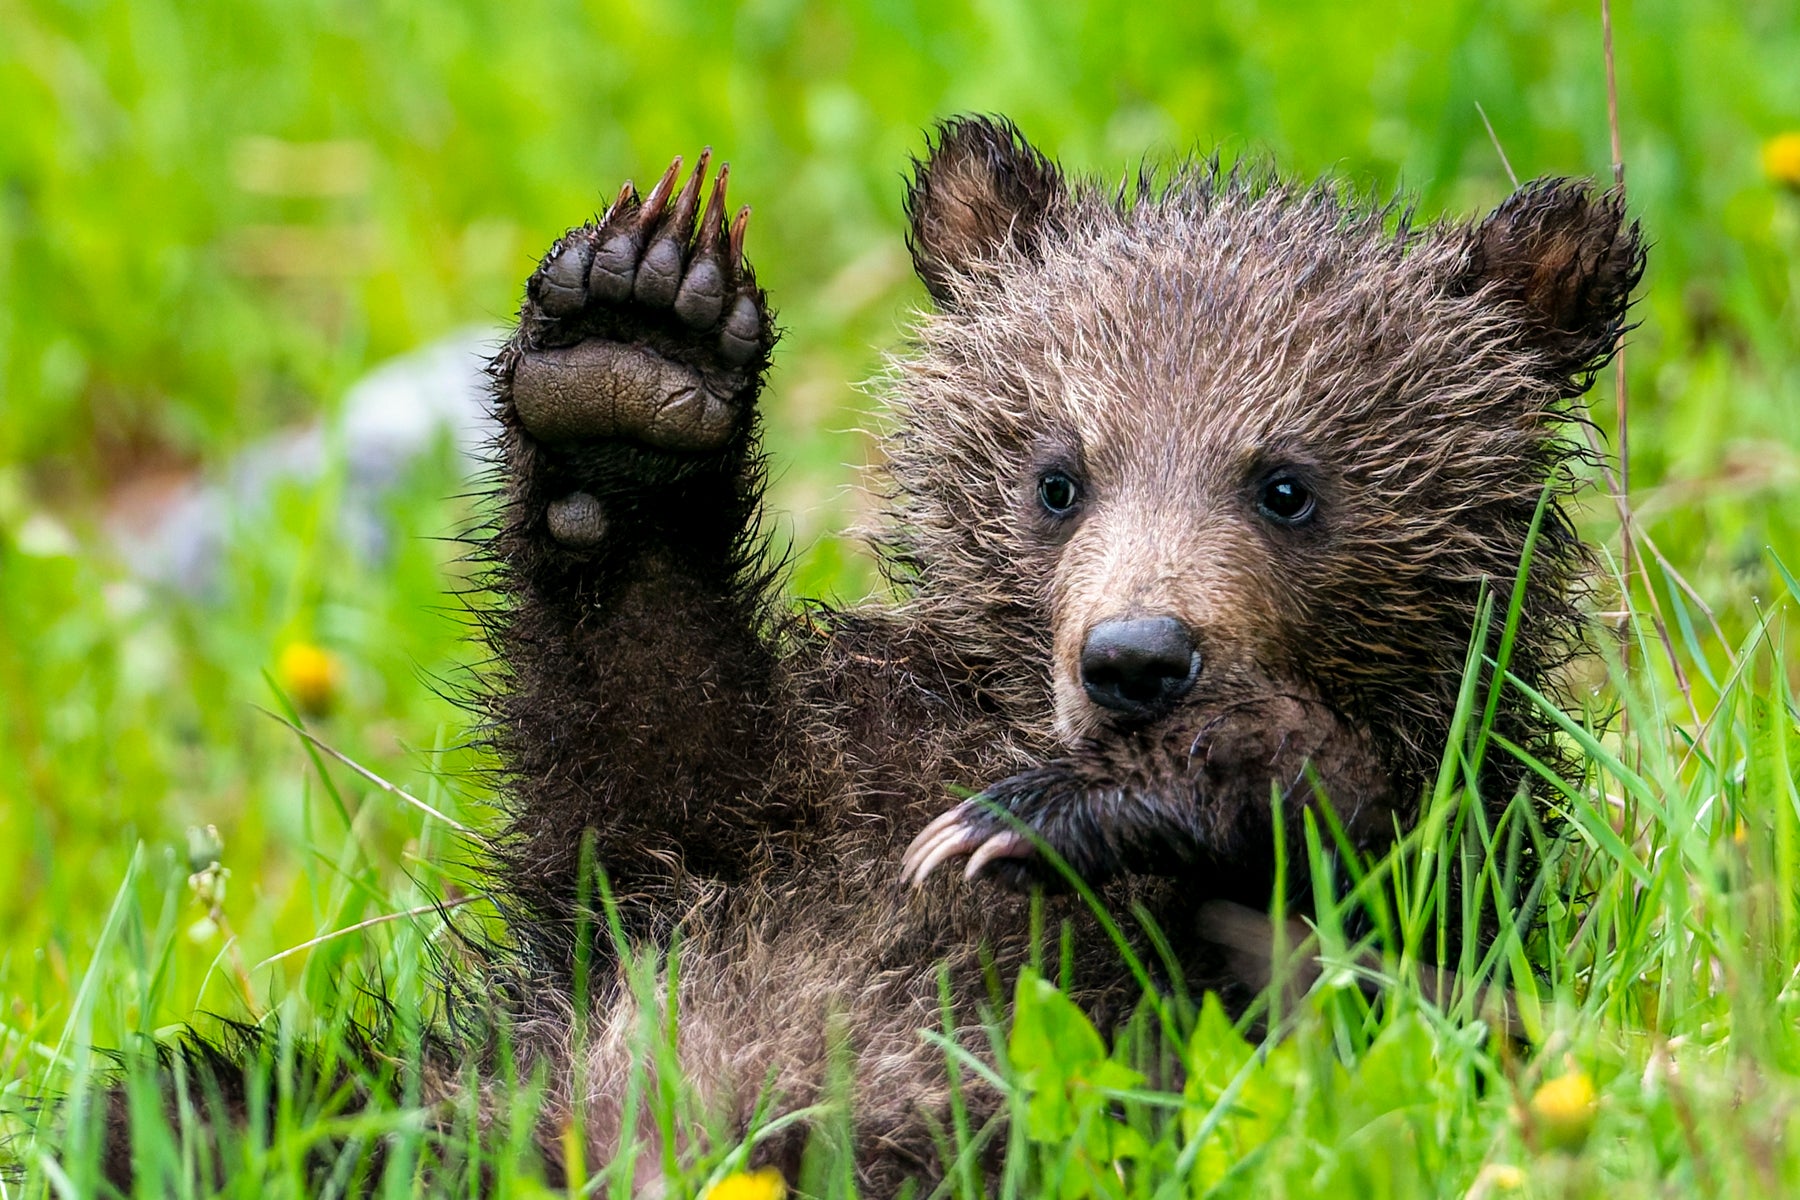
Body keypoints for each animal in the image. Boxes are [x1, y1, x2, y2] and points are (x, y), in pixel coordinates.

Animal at [94, 115, 1642, 1195]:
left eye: (1287, 483)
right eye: (1057, 476)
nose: (1136, 658)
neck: (996, 714)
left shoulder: (1452, 866)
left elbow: (1387, 930)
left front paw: (1067, 808)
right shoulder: (776, 818)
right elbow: (642, 767)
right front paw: (631, 359)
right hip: (455, 1095)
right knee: (200, 1112)